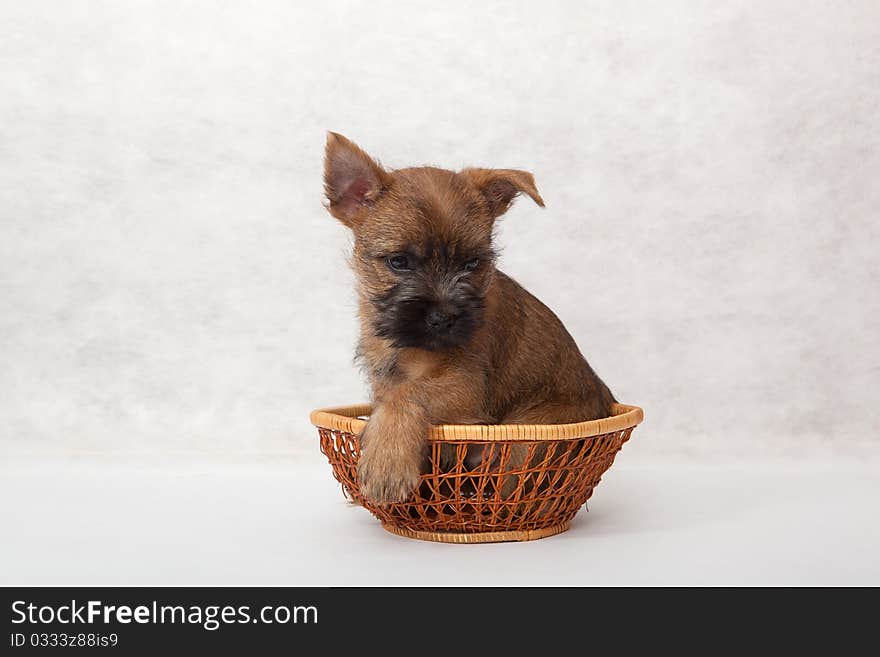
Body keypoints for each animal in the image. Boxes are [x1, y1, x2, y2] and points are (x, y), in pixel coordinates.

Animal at [322, 132, 612, 502]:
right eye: (399, 262)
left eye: (472, 263)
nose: (444, 317)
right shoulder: (386, 381)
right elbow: (392, 397)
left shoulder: (465, 384)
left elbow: (408, 393)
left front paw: (386, 460)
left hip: (528, 435)